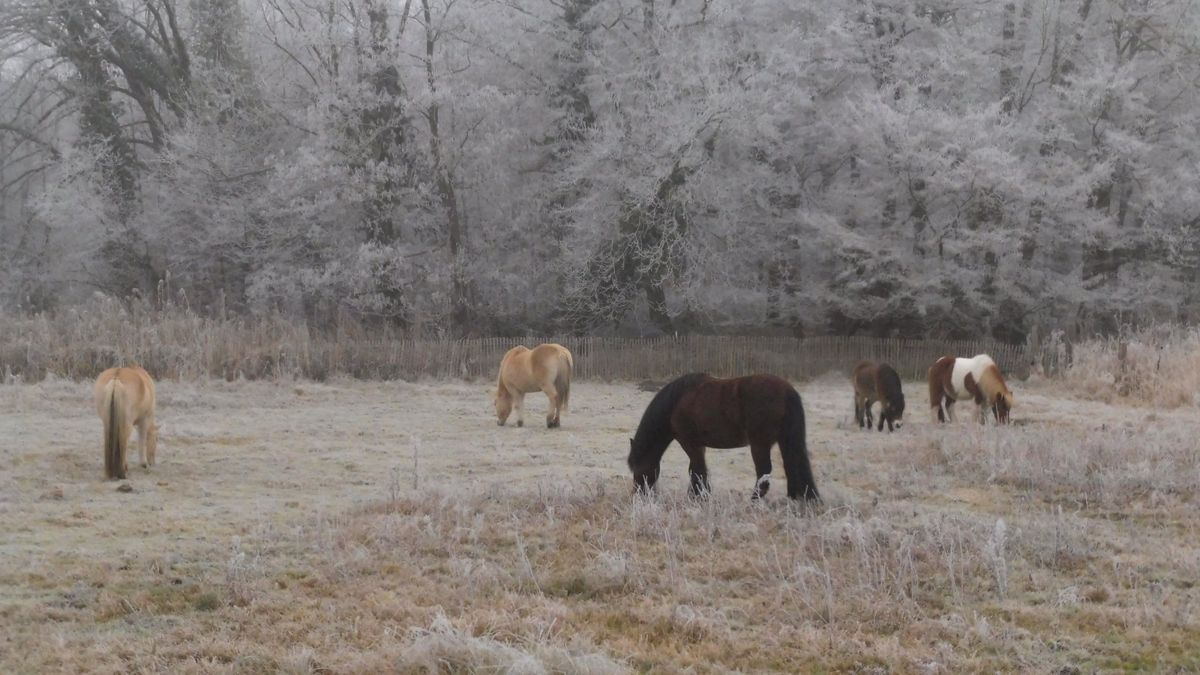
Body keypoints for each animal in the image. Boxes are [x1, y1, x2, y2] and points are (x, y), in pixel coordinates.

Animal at [626, 373, 820, 501]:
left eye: (639, 468)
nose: (638, 495)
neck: (676, 403)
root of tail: (787, 391)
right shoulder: (699, 445)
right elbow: (697, 469)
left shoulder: (689, 442)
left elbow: (697, 470)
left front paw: (698, 497)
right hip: (783, 440)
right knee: (790, 464)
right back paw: (794, 497)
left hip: (759, 444)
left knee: (764, 472)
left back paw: (754, 501)